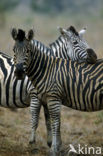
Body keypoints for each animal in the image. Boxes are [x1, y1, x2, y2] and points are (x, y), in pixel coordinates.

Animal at [11, 28, 103, 156]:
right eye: (14, 50)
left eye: (28, 51)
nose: (19, 72)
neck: (47, 69)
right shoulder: (47, 98)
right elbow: (52, 122)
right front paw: (55, 147)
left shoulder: (52, 97)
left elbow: (53, 123)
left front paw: (52, 149)